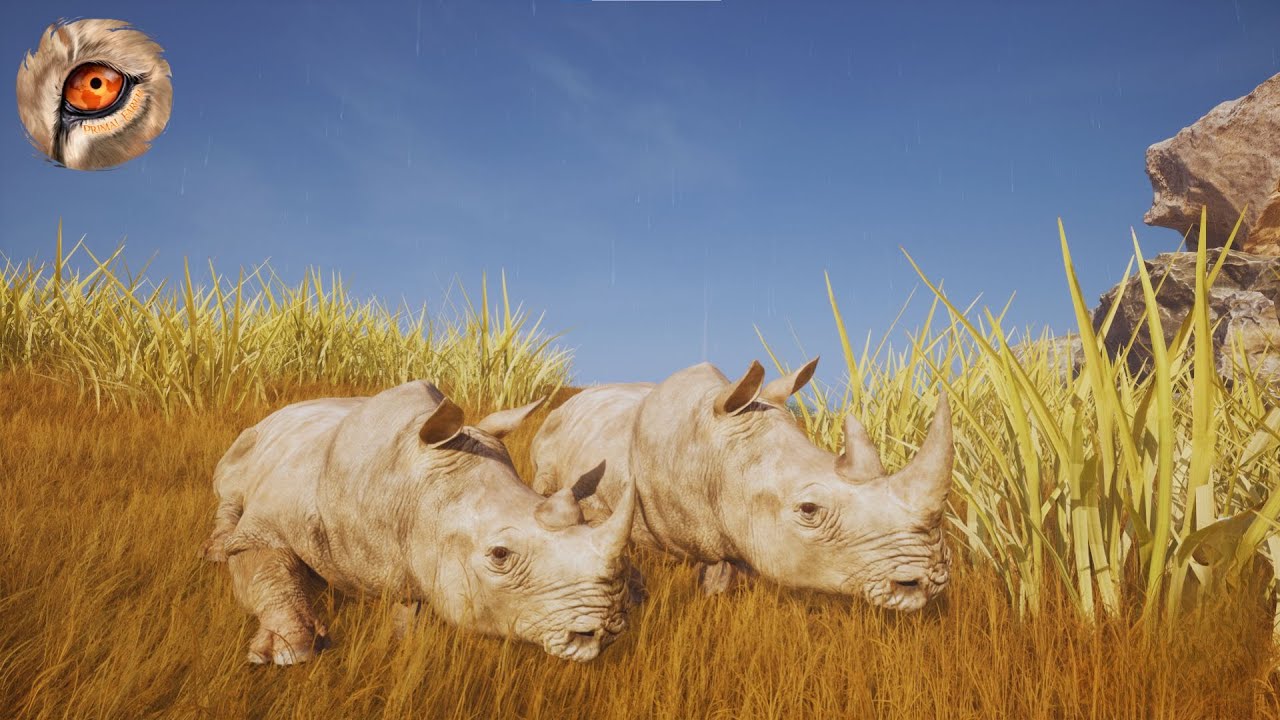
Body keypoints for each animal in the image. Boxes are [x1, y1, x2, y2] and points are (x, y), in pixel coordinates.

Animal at [201, 380, 636, 665]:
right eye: (500, 554)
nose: (606, 633)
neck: (404, 487)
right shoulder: (267, 525)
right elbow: (263, 564)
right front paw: (289, 651)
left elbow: (407, 611)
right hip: (254, 435)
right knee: (230, 482)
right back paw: (215, 551)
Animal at [531, 359, 953, 611]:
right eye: (809, 509)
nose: (925, 585)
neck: (713, 453)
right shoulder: (598, 501)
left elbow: (718, 577)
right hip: (551, 428)